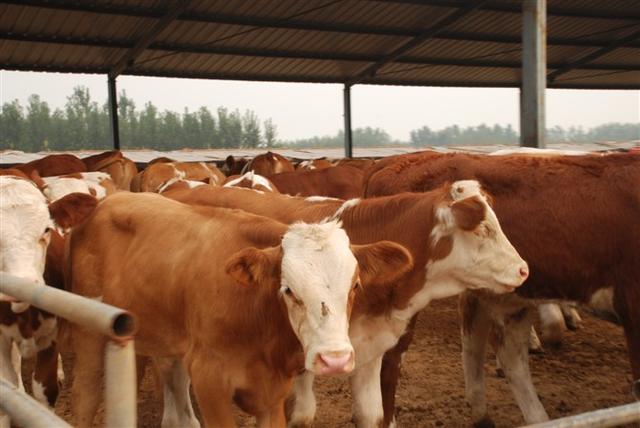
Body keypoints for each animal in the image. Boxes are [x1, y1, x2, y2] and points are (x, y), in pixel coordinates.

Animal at [66, 192, 416, 426]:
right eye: (288, 290)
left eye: (355, 286)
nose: (334, 360)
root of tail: (106, 201)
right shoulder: (210, 381)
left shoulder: (272, 394)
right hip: (87, 333)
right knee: (85, 397)